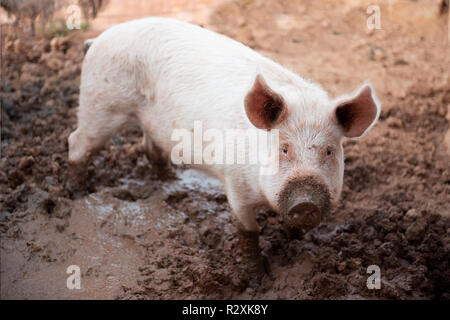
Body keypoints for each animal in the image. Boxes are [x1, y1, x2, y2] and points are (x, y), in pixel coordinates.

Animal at [68, 16, 382, 282]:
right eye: (284, 149)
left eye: (329, 151)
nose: (306, 201)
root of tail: (97, 40)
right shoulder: (235, 185)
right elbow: (247, 232)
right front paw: (256, 280)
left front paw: (297, 246)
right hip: (101, 102)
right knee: (77, 141)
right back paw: (77, 193)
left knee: (149, 147)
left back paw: (171, 182)